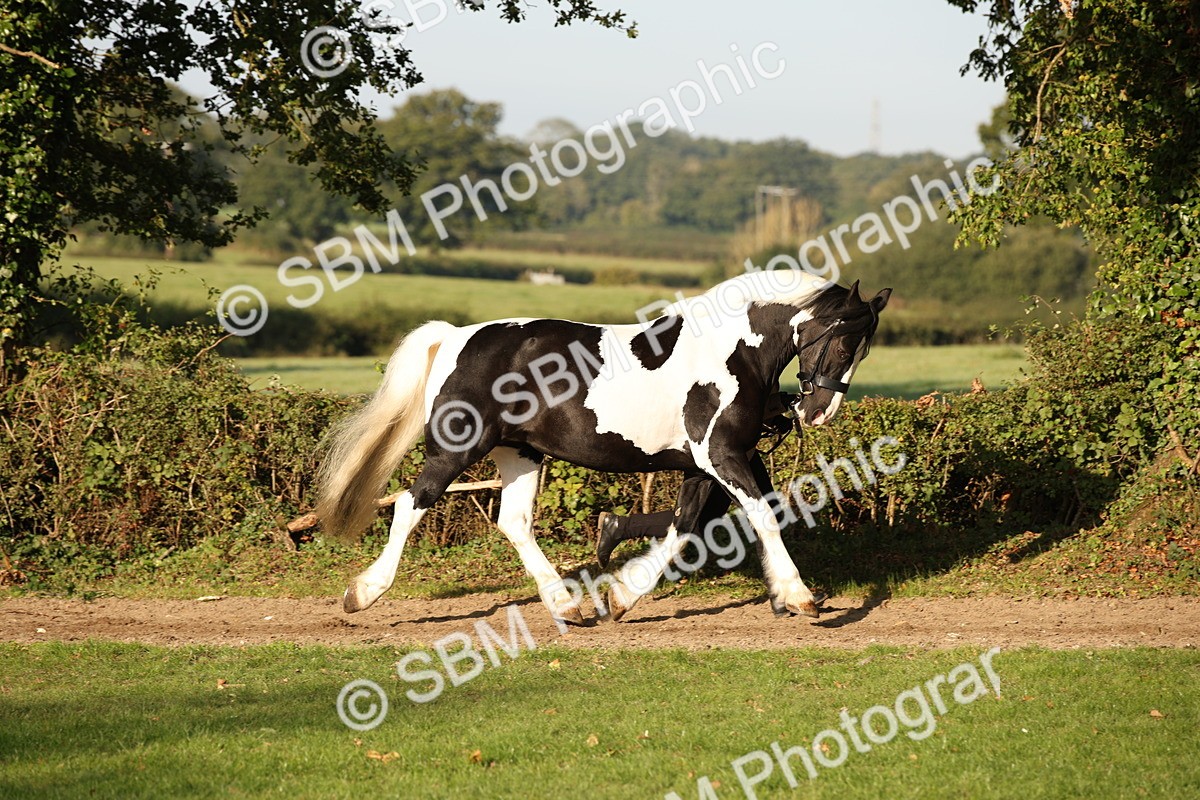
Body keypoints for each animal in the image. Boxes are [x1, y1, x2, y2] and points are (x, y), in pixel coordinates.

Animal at [316, 269, 890, 625]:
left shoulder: (712, 463)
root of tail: (456, 335)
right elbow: (759, 517)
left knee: (514, 522)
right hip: (456, 449)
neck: (731, 354)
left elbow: (689, 526)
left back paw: (565, 606)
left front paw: (619, 595)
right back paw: (362, 594)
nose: (819, 412)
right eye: (844, 340)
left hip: (520, 454)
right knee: (410, 506)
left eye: (865, 349)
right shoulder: (719, 457)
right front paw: (801, 598)